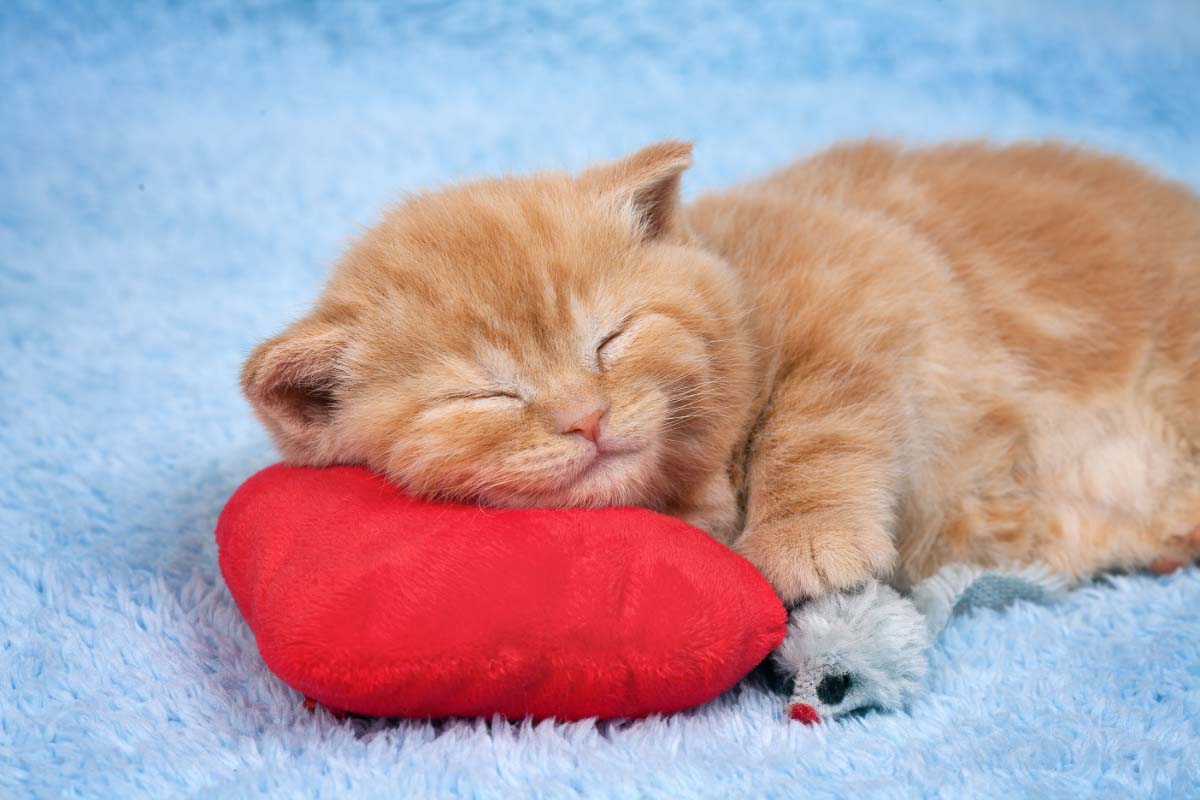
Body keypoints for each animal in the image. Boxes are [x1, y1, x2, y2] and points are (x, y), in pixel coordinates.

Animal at [243, 140, 1200, 604]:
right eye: (487, 394)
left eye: (610, 339)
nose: (587, 417)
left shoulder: (865, 270)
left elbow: (811, 419)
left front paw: (807, 542)